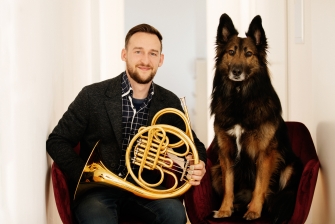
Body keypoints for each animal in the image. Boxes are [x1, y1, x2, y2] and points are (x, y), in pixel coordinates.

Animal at [211, 14, 304, 224]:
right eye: (231, 52)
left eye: (249, 54)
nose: (236, 71)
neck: (239, 97)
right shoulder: (225, 153)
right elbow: (228, 185)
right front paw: (225, 209)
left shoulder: (266, 153)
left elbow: (260, 185)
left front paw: (254, 210)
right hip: (214, 170)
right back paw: (236, 206)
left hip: (290, 167)